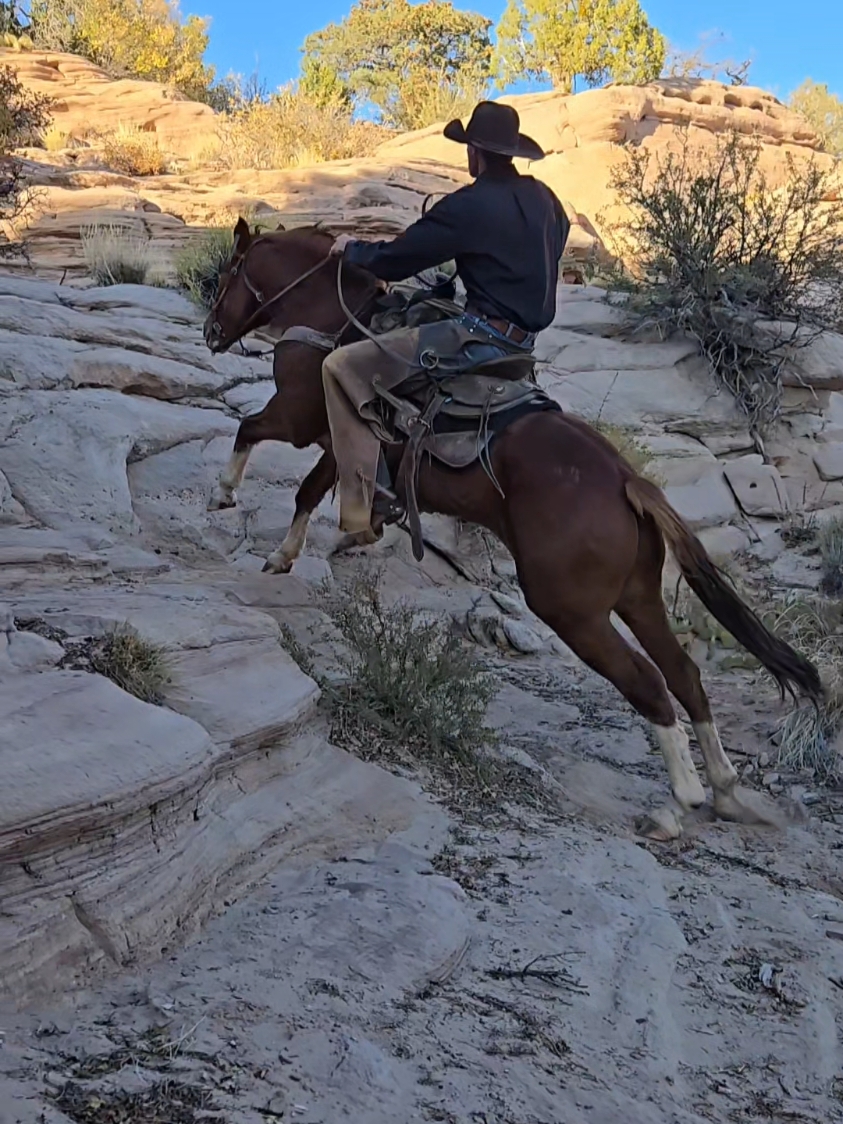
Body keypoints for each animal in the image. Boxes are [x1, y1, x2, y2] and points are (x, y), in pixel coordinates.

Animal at [203, 214, 827, 840]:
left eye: (230, 272)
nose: (210, 331)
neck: (334, 314)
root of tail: (627, 480)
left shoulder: (301, 417)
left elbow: (252, 432)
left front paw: (227, 495)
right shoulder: (340, 447)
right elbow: (313, 490)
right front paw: (310, 545)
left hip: (570, 610)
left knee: (648, 684)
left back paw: (678, 804)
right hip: (637, 597)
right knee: (684, 673)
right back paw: (724, 790)